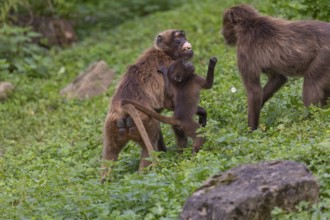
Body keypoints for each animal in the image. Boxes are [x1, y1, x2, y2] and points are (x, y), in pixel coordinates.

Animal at [102, 29, 195, 180]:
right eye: (177, 40)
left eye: (182, 36)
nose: (185, 42)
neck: (163, 52)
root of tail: (123, 107)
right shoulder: (173, 66)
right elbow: (172, 105)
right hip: (143, 120)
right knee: (149, 146)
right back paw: (144, 176)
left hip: (112, 124)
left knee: (110, 155)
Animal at [222, 3, 330, 131]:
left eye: (224, 23)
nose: (222, 33)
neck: (249, 25)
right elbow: (278, 78)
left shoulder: (244, 49)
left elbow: (254, 91)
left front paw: (251, 130)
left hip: (324, 57)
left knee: (311, 82)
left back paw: (309, 121)